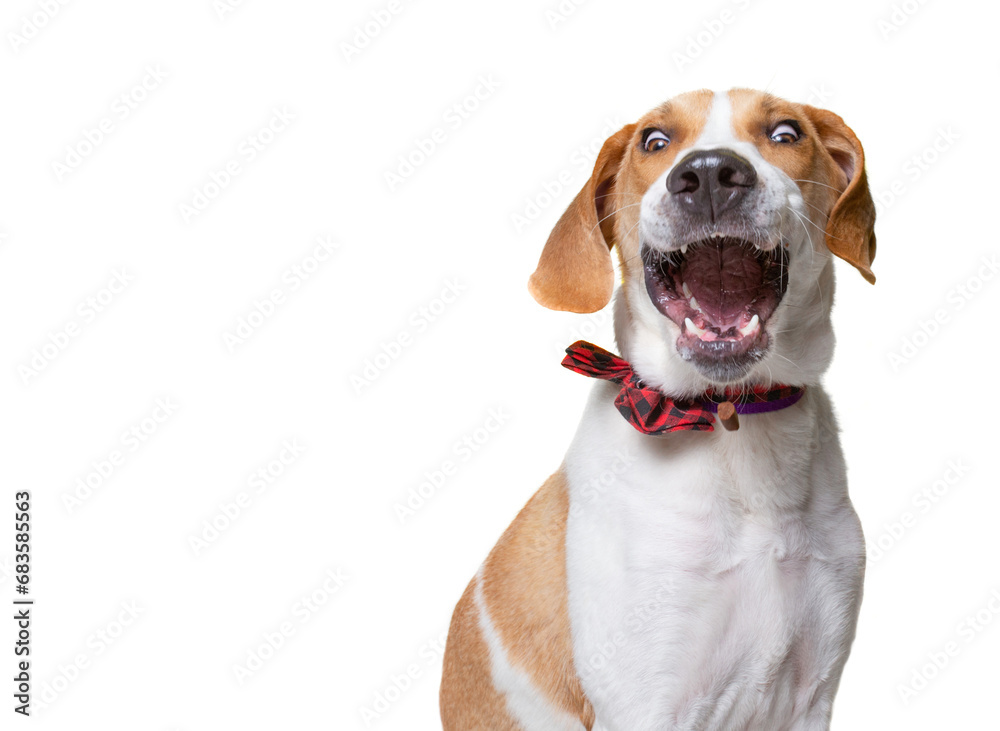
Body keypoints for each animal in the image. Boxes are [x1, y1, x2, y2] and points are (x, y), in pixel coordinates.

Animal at [442, 90, 872, 731]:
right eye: (654, 141)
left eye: (786, 133)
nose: (712, 173)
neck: (729, 418)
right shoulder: (647, 700)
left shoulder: (811, 695)